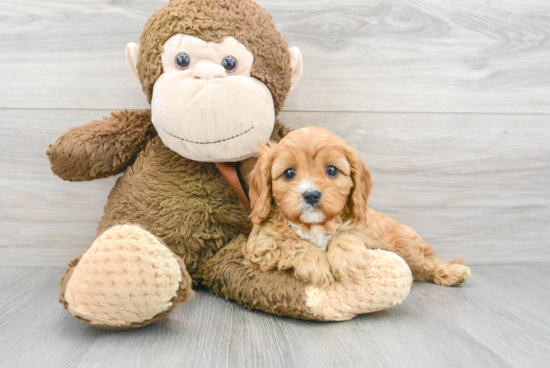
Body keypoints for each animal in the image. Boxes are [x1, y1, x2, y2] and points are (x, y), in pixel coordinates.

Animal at [244, 126, 472, 288]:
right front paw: (317, 265)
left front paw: (347, 260)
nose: (311, 195)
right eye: (289, 173)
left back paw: (453, 272)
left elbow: (346, 235)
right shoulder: (261, 243)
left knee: (425, 263)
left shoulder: (369, 233)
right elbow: (293, 244)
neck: (316, 226)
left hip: (405, 244)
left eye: (331, 170)